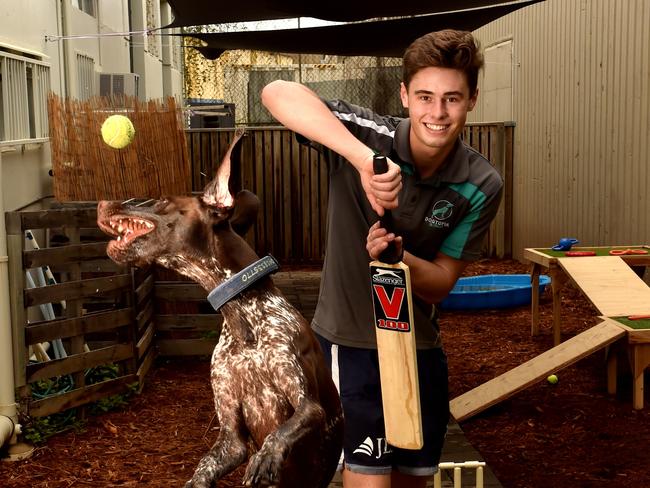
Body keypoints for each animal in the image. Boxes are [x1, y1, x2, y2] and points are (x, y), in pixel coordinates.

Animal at [96, 131, 344, 488]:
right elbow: (206, 466)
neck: (244, 317)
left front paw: (265, 458)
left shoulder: (308, 404)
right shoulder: (231, 437)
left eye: (160, 201)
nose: (102, 203)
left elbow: (280, 433)